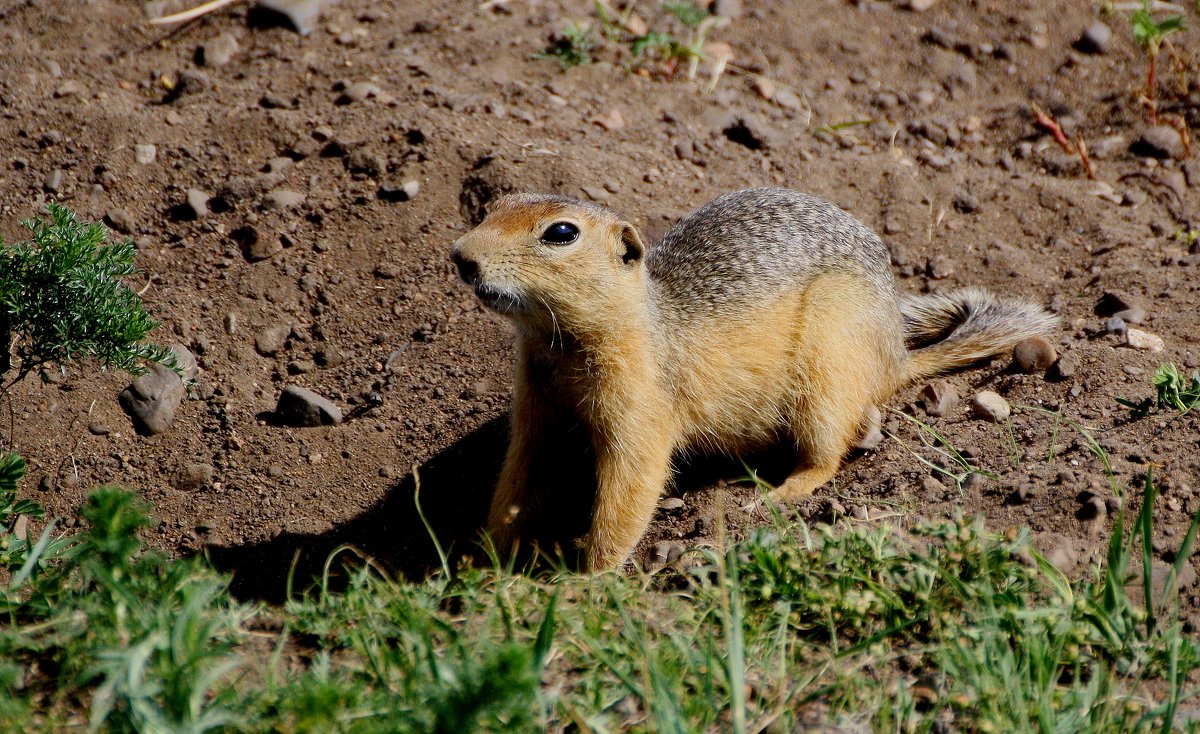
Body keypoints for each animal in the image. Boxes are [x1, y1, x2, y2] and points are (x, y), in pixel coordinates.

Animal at [451, 185, 1060, 570]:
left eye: (560, 233)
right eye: (492, 206)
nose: (461, 256)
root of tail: (893, 357)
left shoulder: (640, 409)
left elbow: (629, 490)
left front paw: (585, 580)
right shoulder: (537, 407)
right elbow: (520, 479)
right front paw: (481, 560)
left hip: (828, 366)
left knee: (828, 454)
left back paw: (777, 493)